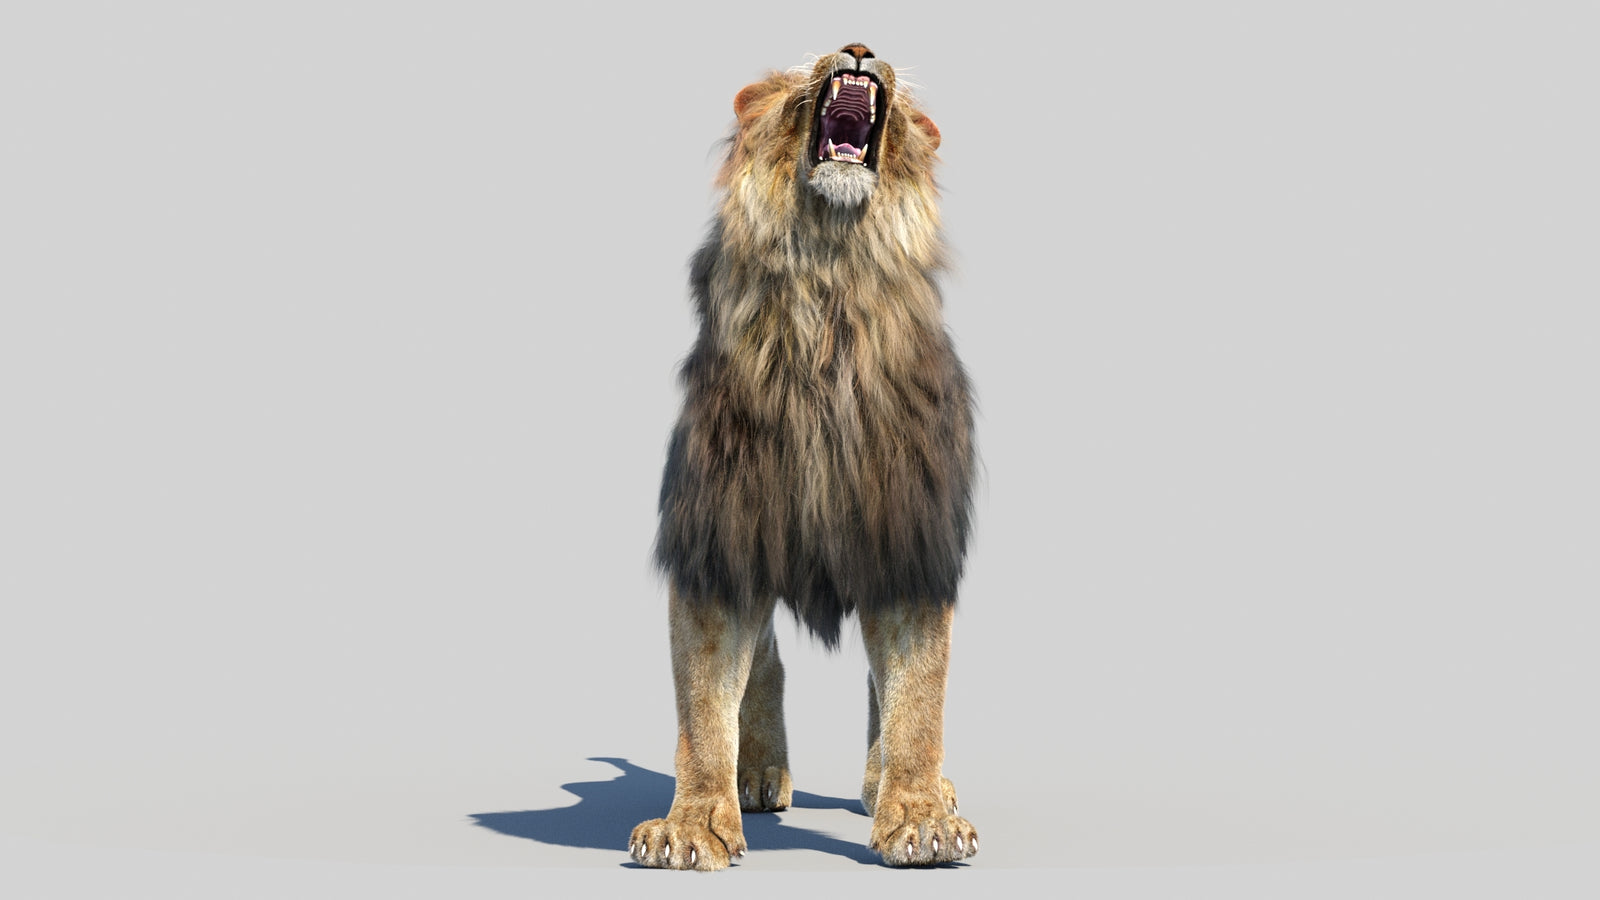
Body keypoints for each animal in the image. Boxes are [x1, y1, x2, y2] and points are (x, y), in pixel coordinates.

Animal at [629, 43, 978, 870]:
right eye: (796, 83)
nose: (858, 47)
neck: (830, 279)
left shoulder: (909, 539)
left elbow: (918, 695)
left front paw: (919, 816)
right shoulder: (719, 539)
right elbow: (703, 702)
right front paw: (693, 824)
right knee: (766, 660)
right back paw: (757, 774)